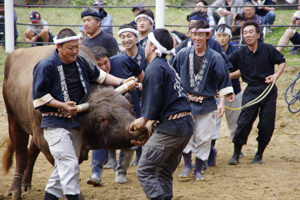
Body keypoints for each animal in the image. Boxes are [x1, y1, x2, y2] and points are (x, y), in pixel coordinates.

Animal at [2, 44, 148, 199]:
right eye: (102, 119)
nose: (137, 128)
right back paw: (14, 189)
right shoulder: (47, 141)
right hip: (13, 119)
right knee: (21, 153)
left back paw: (26, 183)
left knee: (31, 152)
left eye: (131, 109)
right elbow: (65, 171)